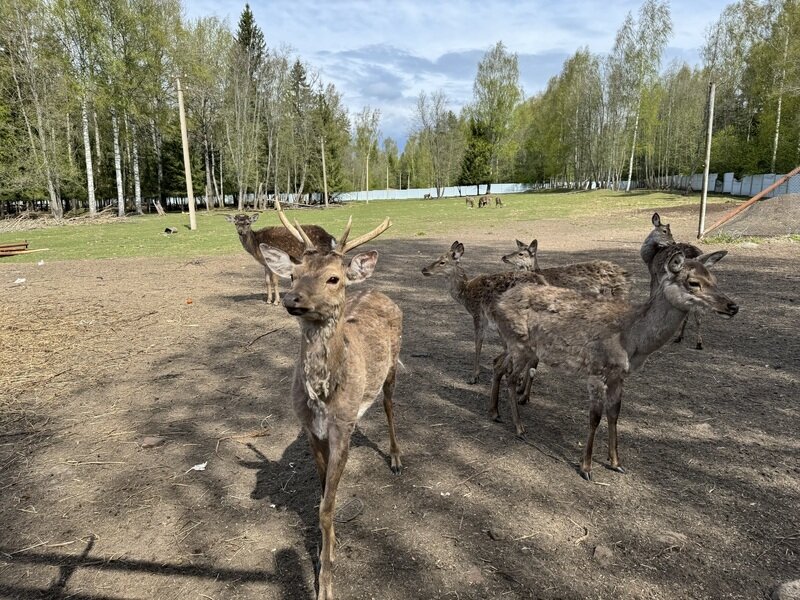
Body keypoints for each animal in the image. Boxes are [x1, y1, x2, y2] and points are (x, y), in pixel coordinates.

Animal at [260, 211, 400, 600]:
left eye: (333, 278)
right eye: (293, 273)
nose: (292, 298)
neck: (324, 396)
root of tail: (375, 289)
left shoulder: (340, 432)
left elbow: (326, 506)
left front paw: (325, 583)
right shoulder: (313, 431)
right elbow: (323, 496)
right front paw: (330, 548)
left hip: (393, 366)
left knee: (389, 405)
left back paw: (396, 458)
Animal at [490, 246, 740, 480]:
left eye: (714, 279)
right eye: (693, 282)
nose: (733, 306)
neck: (631, 341)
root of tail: (499, 302)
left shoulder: (619, 375)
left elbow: (614, 413)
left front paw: (616, 462)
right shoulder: (596, 369)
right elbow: (595, 416)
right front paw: (586, 467)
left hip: (516, 346)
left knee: (498, 363)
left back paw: (495, 413)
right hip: (519, 343)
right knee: (511, 376)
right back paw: (519, 428)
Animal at [640, 213, 708, 350]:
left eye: (670, 232)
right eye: (665, 231)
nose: (673, 242)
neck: (650, 257)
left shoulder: (654, 274)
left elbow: (652, 294)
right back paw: (693, 341)